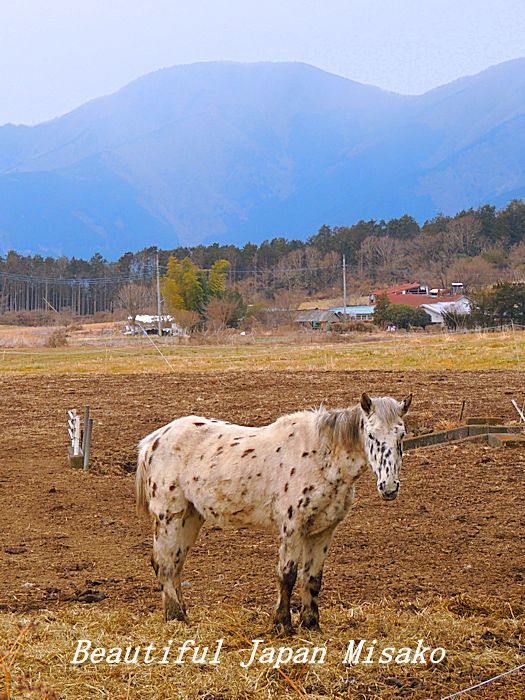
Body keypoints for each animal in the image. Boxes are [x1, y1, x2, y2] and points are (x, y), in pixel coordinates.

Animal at [137, 394, 412, 636]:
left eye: (401, 434)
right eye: (371, 435)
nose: (389, 487)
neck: (320, 456)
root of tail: (153, 441)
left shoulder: (323, 530)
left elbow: (312, 579)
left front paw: (311, 625)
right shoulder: (293, 527)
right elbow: (288, 575)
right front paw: (283, 625)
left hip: (190, 517)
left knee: (176, 564)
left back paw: (180, 615)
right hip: (169, 516)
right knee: (163, 563)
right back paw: (176, 617)